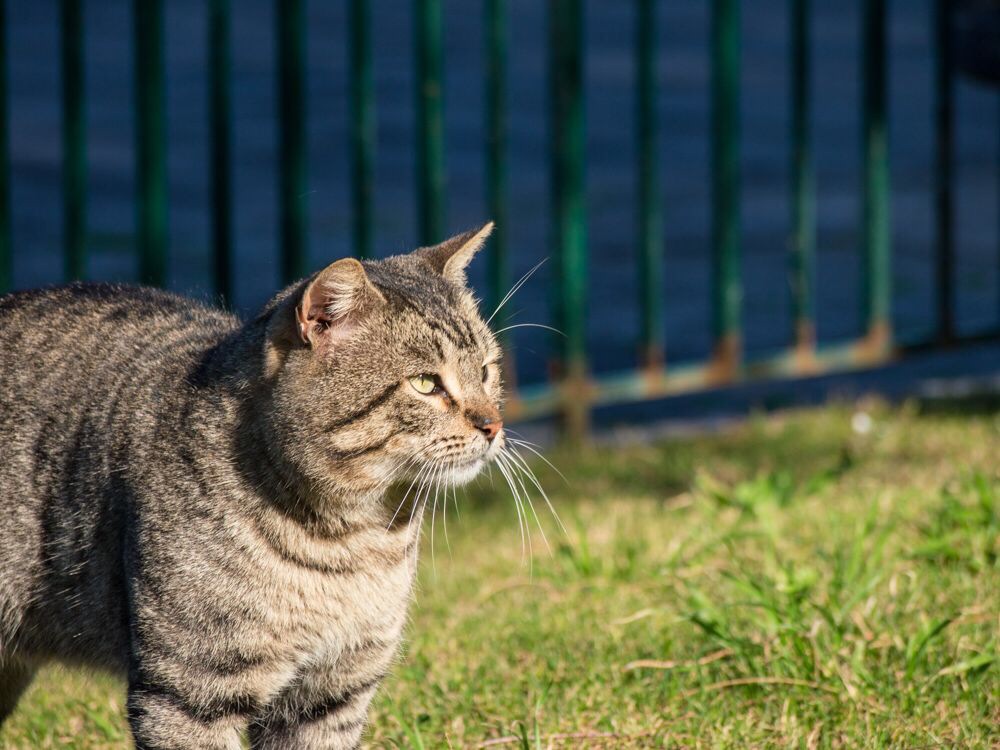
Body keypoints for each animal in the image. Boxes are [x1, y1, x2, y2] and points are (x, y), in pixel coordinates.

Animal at [0, 225, 500, 750]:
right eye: (425, 384)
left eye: (486, 371)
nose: (493, 424)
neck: (350, 546)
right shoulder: (188, 693)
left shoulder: (331, 695)